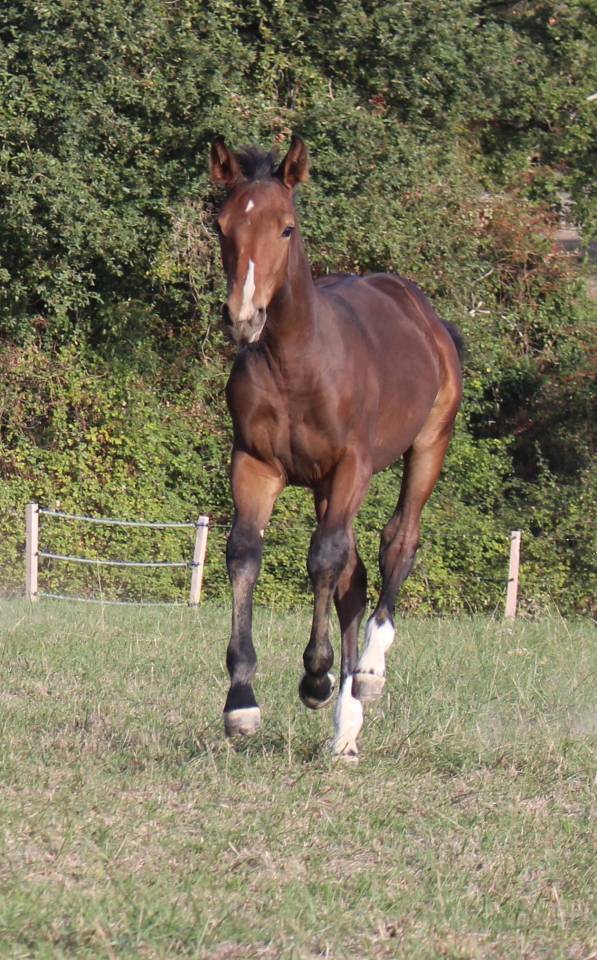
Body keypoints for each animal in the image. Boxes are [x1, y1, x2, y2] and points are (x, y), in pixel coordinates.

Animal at [210, 135, 463, 759]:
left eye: (287, 228)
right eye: (223, 226)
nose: (243, 317)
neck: (297, 364)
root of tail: (425, 313)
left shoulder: (353, 466)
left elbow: (323, 558)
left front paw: (317, 676)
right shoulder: (255, 464)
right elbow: (245, 553)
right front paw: (241, 702)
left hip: (428, 445)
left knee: (397, 543)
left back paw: (367, 673)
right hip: (323, 484)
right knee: (355, 578)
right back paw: (346, 733)